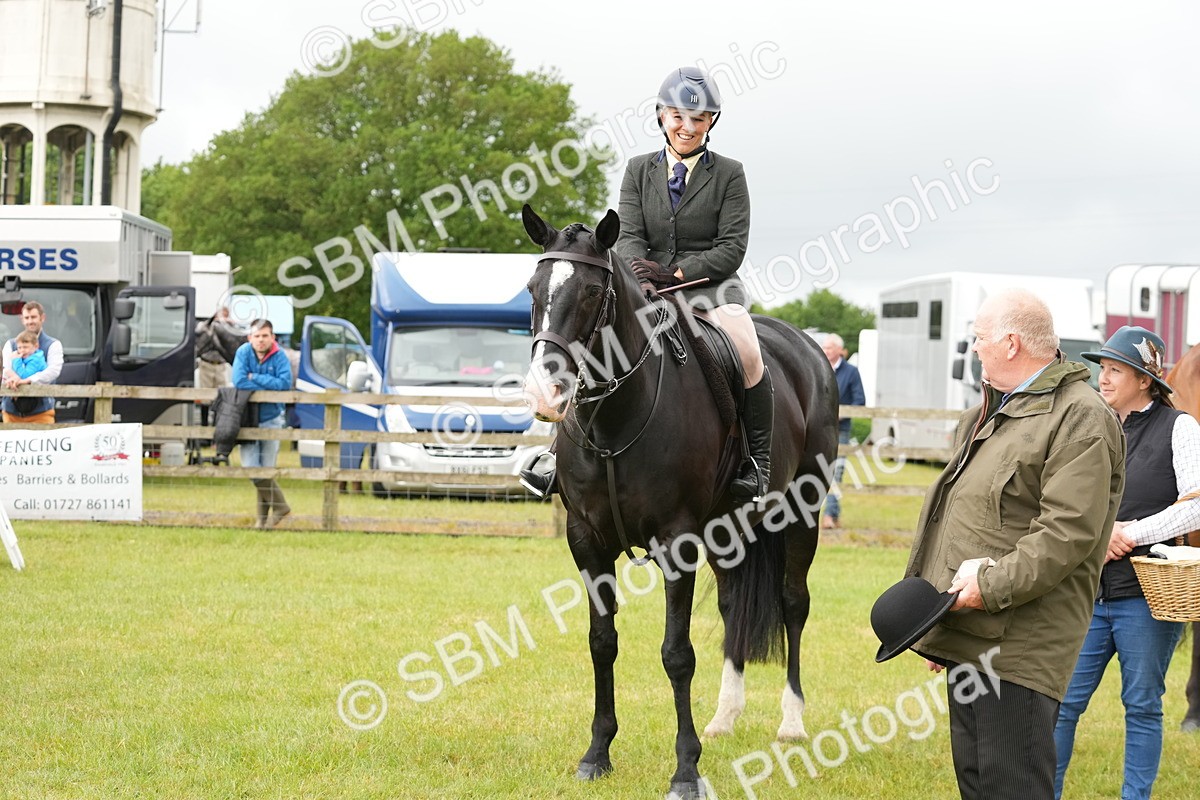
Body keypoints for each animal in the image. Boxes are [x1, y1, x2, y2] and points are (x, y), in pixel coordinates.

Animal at [520, 204, 839, 798]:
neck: (617, 416)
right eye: (532, 289)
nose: (544, 396)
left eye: (593, 292)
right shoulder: (586, 541)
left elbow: (676, 653)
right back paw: (725, 717)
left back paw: (791, 723)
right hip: (728, 528)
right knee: (734, 606)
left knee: (793, 604)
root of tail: (805, 347)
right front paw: (597, 754)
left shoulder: (676, 541)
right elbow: (602, 642)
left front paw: (686, 770)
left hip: (802, 513)